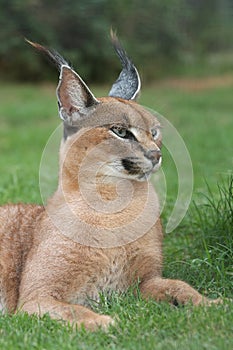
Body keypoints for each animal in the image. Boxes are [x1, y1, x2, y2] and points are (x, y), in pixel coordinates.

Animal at [0, 33, 222, 330]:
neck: (113, 202)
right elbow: (75, 312)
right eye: (120, 131)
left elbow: (179, 285)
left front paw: (211, 304)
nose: (156, 154)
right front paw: (111, 322)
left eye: (154, 131)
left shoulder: (145, 282)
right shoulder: (36, 297)